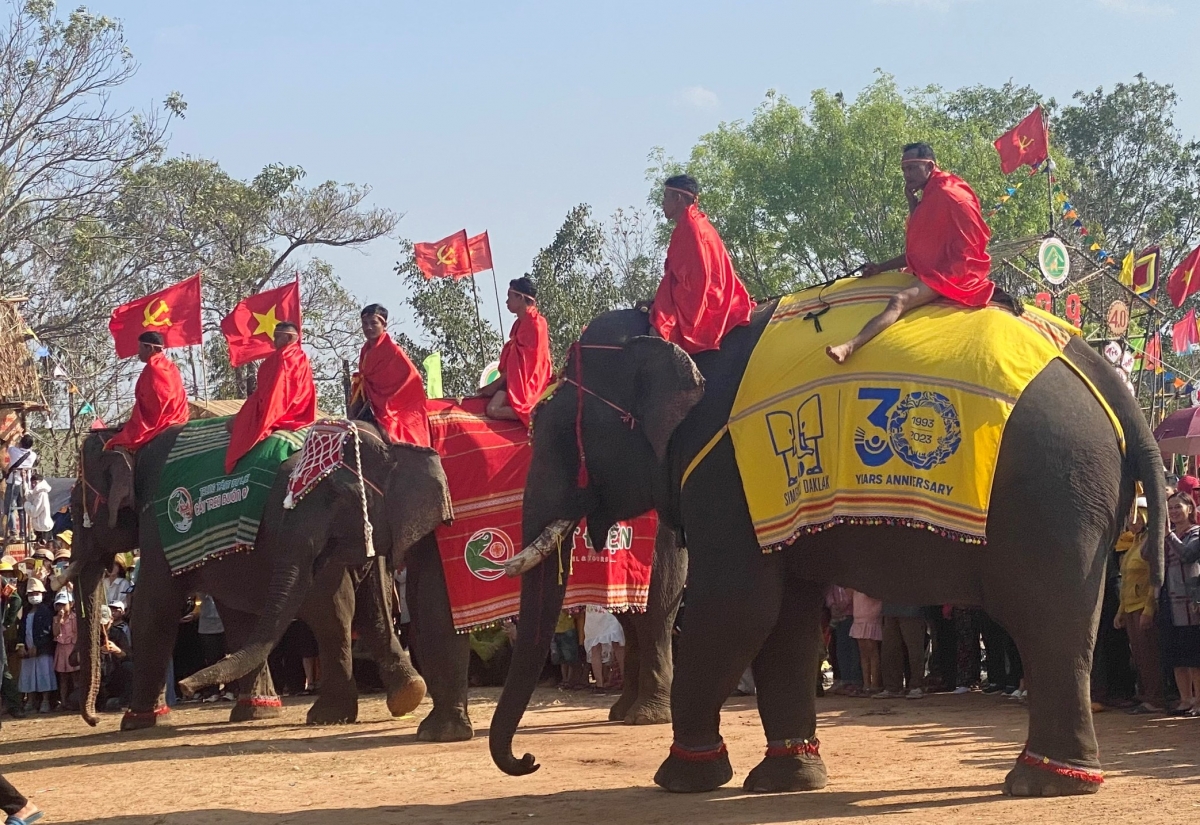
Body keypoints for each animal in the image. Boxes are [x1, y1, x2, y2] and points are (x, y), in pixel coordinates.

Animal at [73, 429, 436, 733]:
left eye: (77, 509)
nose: (92, 720)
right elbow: (238, 616)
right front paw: (257, 712)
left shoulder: (156, 529)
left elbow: (153, 607)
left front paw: (137, 723)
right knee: (373, 606)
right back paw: (407, 695)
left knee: (331, 613)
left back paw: (327, 715)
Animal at [176, 419, 686, 743]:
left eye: (335, 496)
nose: (184, 685)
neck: (394, 437)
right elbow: (421, 611)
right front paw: (437, 728)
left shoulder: (451, 525)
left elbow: (436, 612)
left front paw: (439, 735)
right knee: (635, 615)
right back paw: (624, 714)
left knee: (653, 614)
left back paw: (644, 717)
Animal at [484, 304, 1161, 801]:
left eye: (552, 432)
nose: (529, 759)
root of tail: (1105, 376)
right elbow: (785, 620)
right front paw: (785, 781)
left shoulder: (725, 476)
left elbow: (734, 610)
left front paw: (684, 781)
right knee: (1067, 628)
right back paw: (1056, 779)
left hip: (1054, 491)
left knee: (1047, 625)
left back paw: (1041, 783)